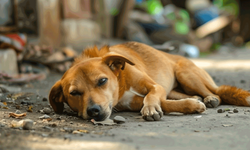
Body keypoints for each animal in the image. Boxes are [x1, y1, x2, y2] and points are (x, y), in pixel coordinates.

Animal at [48, 41, 250, 121]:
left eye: (102, 80)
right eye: (74, 93)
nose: (93, 111)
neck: (121, 82)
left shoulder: (155, 86)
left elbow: (151, 97)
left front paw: (151, 109)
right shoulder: (130, 102)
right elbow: (164, 103)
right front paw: (191, 105)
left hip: (186, 74)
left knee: (216, 93)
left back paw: (209, 98)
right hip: (176, 87)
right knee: (181, 95)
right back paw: (196, 98)